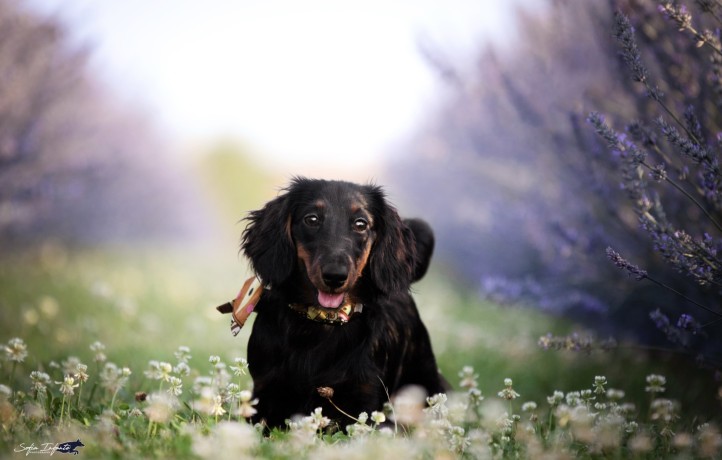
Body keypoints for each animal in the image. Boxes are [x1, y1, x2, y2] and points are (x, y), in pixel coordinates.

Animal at [240, 177, 444, 428]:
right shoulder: (266, 391)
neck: (322, 322)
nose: (335, 276)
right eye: (312, 219)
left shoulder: (363, 401)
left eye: (361, 224)